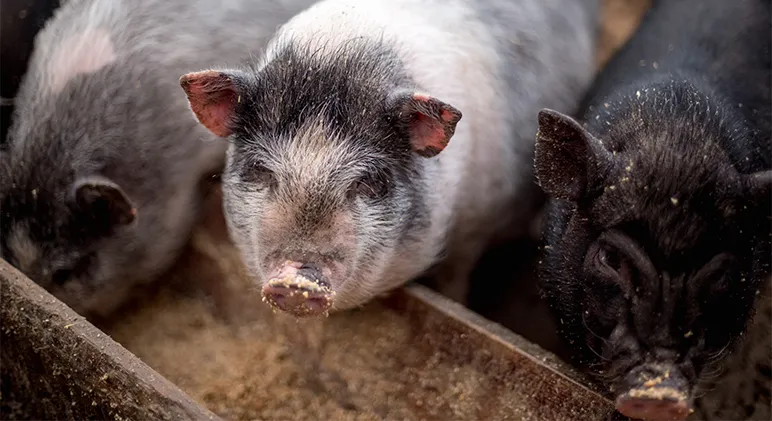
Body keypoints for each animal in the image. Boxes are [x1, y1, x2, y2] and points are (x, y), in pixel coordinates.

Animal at [179, 0, 599, 317]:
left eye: (368, 181)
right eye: (261, 170)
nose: (296, 282)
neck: (338, 53)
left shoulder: (475, 227)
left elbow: (456, 277)